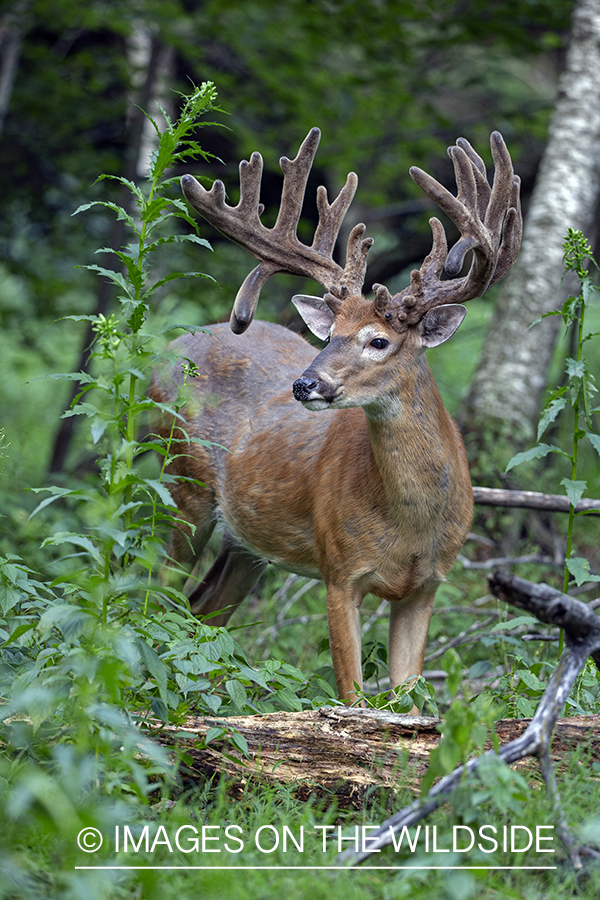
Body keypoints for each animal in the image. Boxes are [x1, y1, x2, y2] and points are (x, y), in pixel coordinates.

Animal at [150, 128, 520, 704]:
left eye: (379, 341)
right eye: (330, 336)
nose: (305, 383)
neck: (409, 525)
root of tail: (165, 351)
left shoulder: (428, 585)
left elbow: (407, 701)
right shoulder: (339, 568)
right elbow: (353, 698)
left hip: (247, 542)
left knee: (202, 611)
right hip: (182, 484)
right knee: (150, 590)